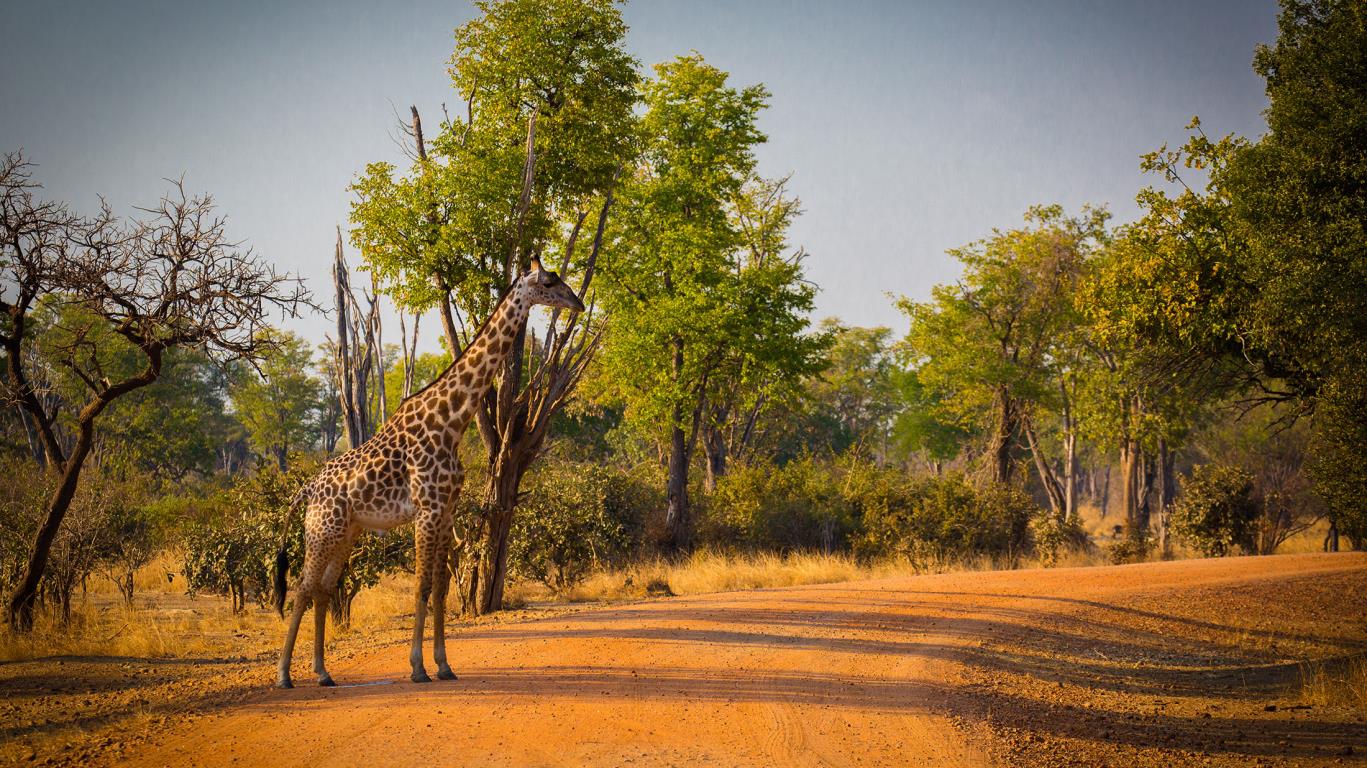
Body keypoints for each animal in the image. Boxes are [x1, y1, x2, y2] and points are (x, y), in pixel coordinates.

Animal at [274, 258, 584, 688]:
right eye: (550, 282)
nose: (579, 303)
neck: (452, 421)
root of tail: (306, 489)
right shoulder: (427, 510)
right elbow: (421, 587)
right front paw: (418, 668)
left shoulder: (447, 510)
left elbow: (439, 589)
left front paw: (444, 665)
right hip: (323, 528)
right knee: (303, 589)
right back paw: (284, 674)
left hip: (347, 532)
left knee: (322, 589)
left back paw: (322, 672)